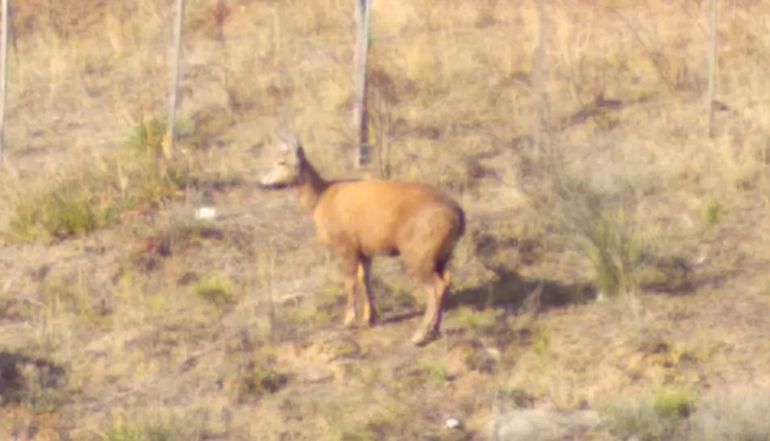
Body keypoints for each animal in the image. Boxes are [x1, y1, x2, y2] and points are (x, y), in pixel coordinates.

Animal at [258, 133, 464, 344]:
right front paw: (369, 319)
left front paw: (348, 321)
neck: (321, 199)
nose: (262, 182)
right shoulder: (365, 250)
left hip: (418, 253)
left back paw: (419, 335)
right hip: (442, 254)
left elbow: (349, 281)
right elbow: (365, 280)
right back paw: (435, 330)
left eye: (281, 162)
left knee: (436, 287)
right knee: (447, 281)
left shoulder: (346, 246)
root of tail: (458, 214)